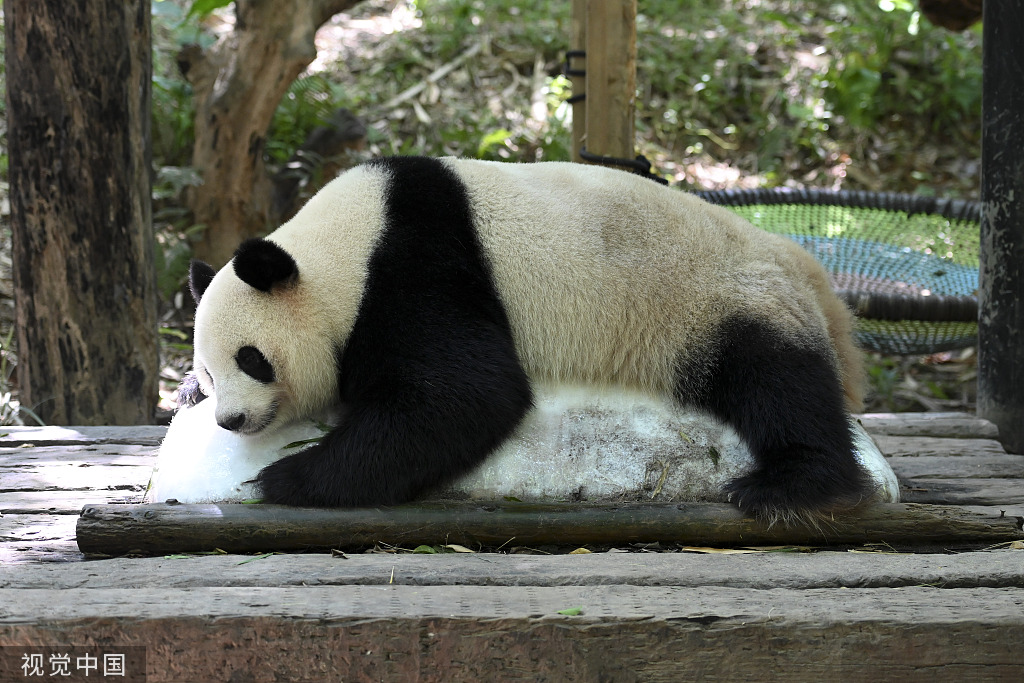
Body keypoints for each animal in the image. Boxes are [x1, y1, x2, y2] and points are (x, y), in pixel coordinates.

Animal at [188, 157, 868, 528]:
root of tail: (803, 266)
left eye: (252, 359)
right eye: (211, 372)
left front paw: (283, 477)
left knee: (778, 380)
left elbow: (466, 395)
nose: (231, 420)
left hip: (717, 301)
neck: (341, 250)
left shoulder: (415, 265)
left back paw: (788, 483)